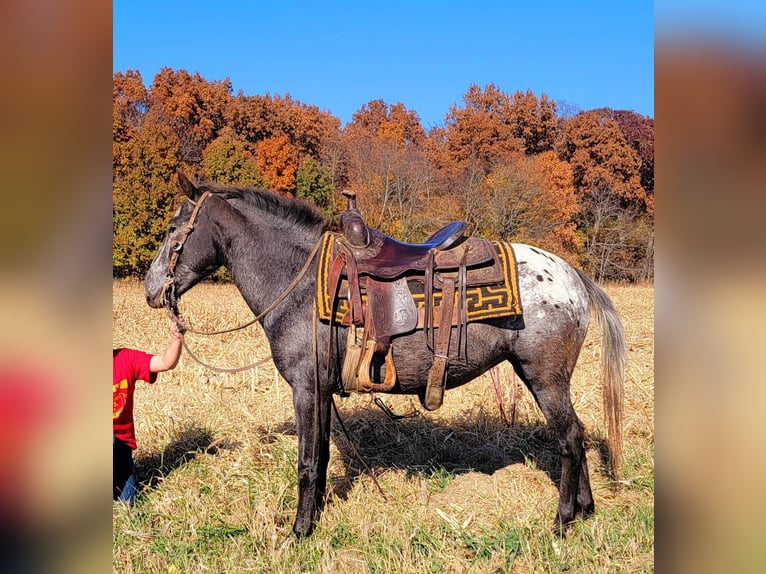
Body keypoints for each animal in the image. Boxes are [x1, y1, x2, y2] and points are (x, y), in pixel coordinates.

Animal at [146, 174, 632, 540]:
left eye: (173, 229)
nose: (151, 291)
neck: (300, 282)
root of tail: (572, 275)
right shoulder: (323, 391)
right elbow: (322, 456)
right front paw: (315, 516)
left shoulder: (306, 388)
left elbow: (306, 461)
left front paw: (300, 530)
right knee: (577, 435)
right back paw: (586, 509)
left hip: (544, 377)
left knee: (570, 437)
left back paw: (563, 521)